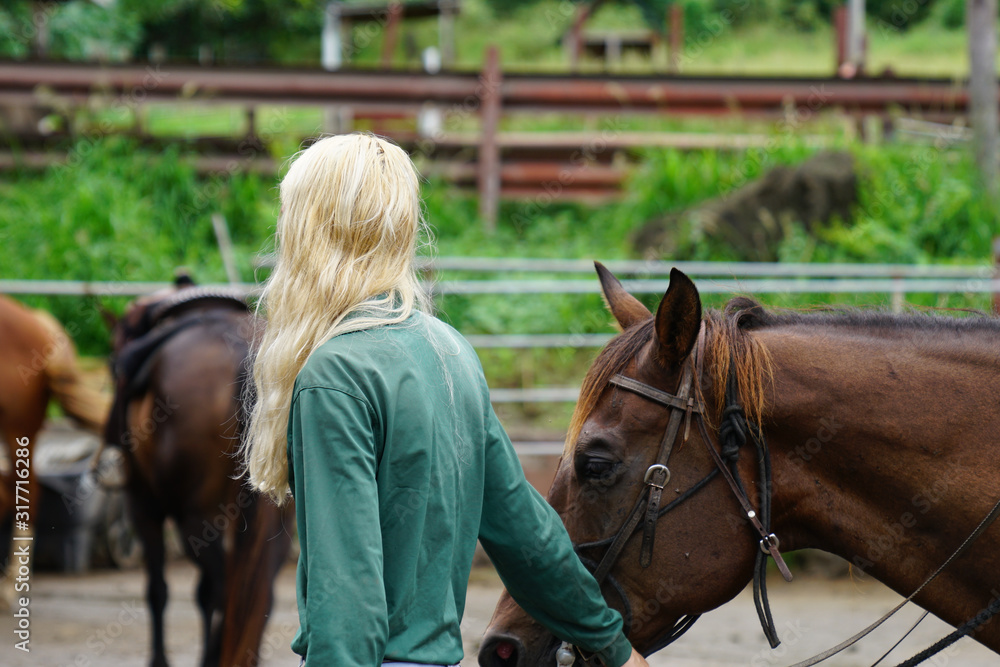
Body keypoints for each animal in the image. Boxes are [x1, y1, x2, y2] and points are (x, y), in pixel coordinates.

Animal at [106, 278, 293, 667]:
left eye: (112, 365)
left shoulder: (142, 504)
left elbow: (158, 589)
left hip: (192, 517)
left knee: (222, 587)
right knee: (256, 590)